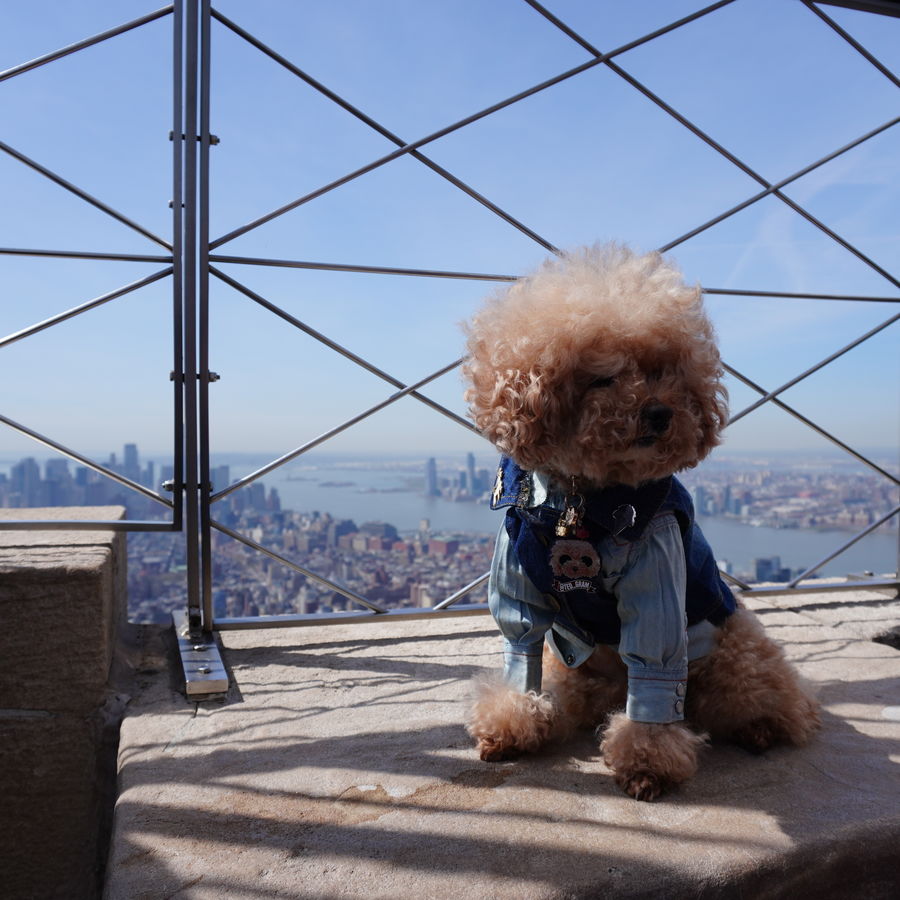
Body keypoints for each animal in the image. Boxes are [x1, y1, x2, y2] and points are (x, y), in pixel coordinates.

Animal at [460, 244, 820, 800]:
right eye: (604, 376)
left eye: (663, 372)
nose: (660, 413)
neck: (581, 499)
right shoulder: (518, 586)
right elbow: (522, 656)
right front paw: (511, 725)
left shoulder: (658, 578)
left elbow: (653, 682)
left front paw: (648, 763)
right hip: (583, 669)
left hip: (734, 646)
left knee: (770, 699)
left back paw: (761, 727)